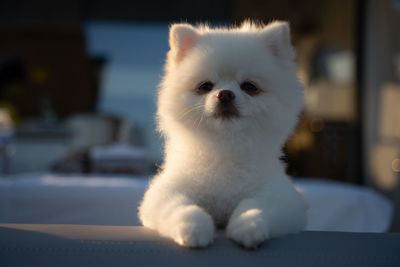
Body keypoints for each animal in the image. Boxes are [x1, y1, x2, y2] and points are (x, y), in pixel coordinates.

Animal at [139, 20, 308, 249]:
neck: (225, 148)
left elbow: (255, 205)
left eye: (249, 87)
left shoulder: (283, 197)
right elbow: (181, 207)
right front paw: (193, 228)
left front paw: (249, 224)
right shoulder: (164, 193)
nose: (225, 94)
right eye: (205, 86)